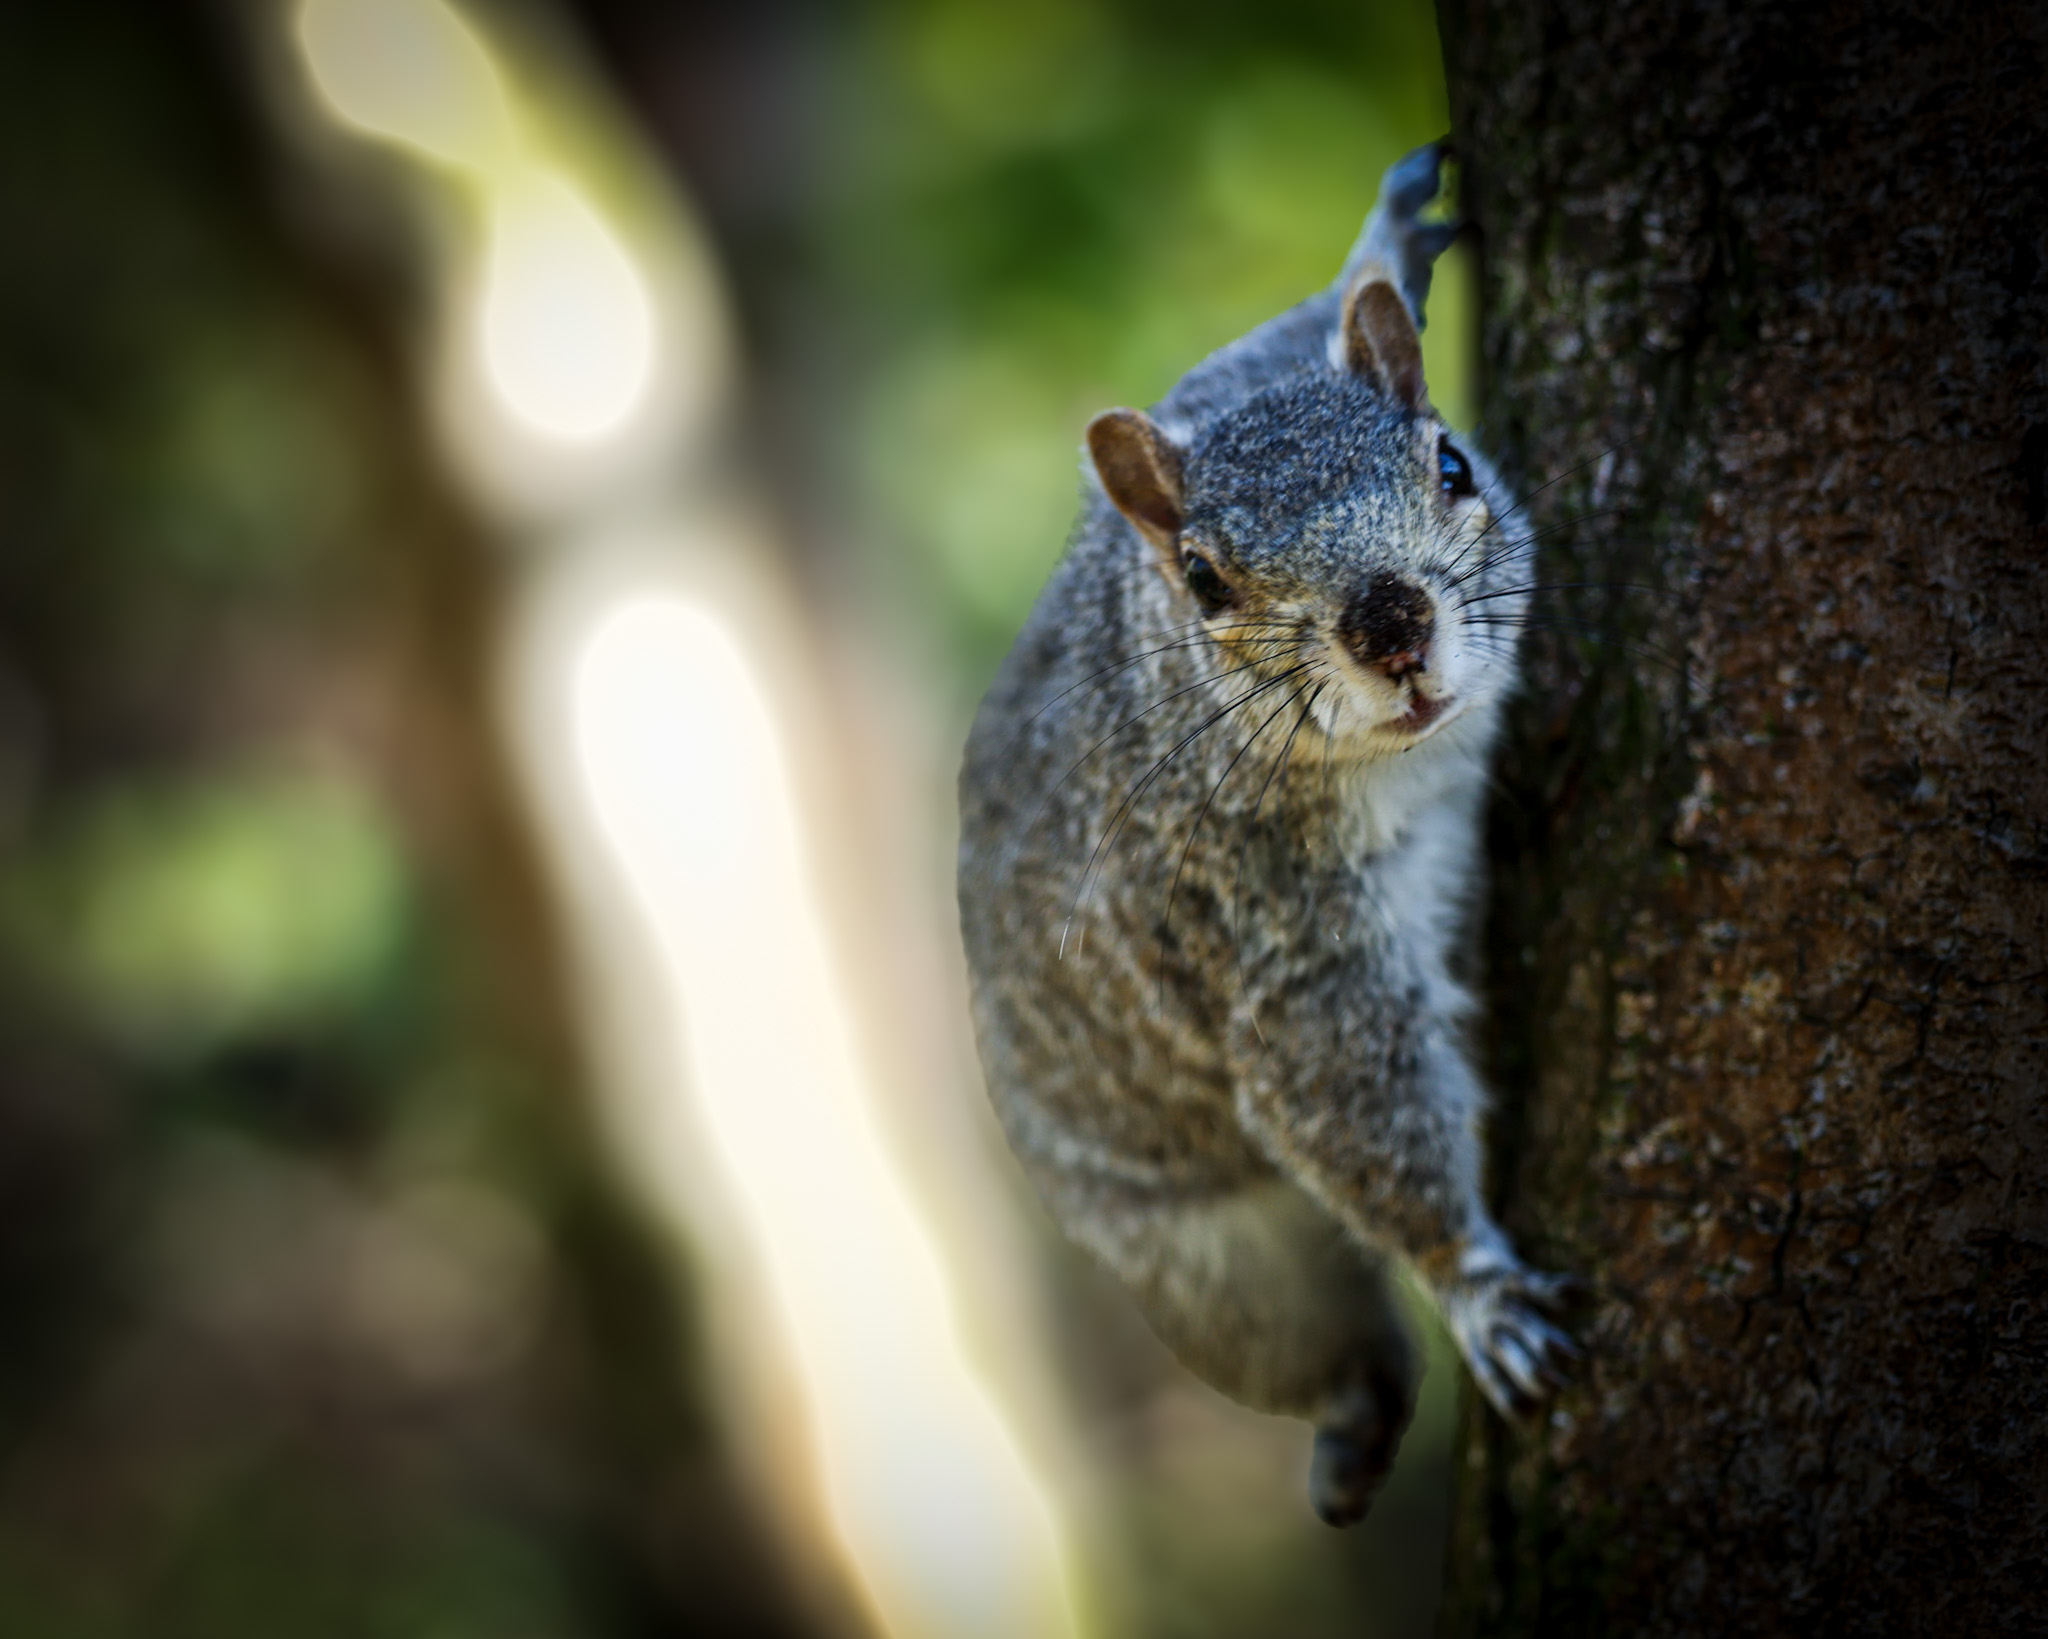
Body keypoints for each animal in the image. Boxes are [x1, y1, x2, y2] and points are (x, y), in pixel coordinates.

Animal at [956, 141, 1574, 1527]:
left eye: (1449, 464)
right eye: (1203, 580)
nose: (1388, 624)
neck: (1408, 766)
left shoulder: (1231, 375)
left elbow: (1292, 323)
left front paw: (1385, 243)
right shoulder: (1277, 941)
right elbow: (1359, 1106)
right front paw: (1478, 1288)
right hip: (1205, 1262)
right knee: (1311, 1341)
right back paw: (1352, 1423)